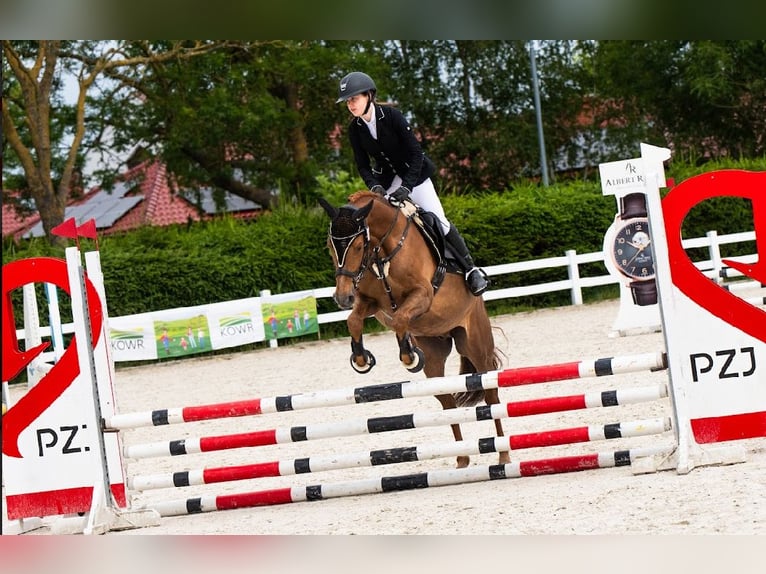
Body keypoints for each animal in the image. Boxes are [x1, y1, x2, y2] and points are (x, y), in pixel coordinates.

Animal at [319, 191, 509, 468]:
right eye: (330, 247)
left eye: (358, 246)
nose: (342, 298)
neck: (382, 251)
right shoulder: (371, 302)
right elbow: (354, 320)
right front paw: (362, 359)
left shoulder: (423, 295)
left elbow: (400, 319)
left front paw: (409, 357)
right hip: (434, 356)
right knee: (447, 403)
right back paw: (462, 459)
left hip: (476, 345)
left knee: (491, 396)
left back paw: (503, 455)